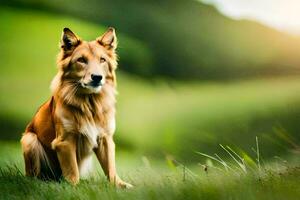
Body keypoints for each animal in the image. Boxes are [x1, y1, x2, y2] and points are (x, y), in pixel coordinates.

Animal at [20, 27, 132, 188]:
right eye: (81, 60)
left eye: (102, 60)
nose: (97, 77)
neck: (90, 104)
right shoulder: (65, 141)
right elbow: (72, 170)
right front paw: (73, 187)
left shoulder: (106, 139)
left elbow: (111, 168)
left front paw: (119, 185)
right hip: (29, 139)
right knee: (35, 176)